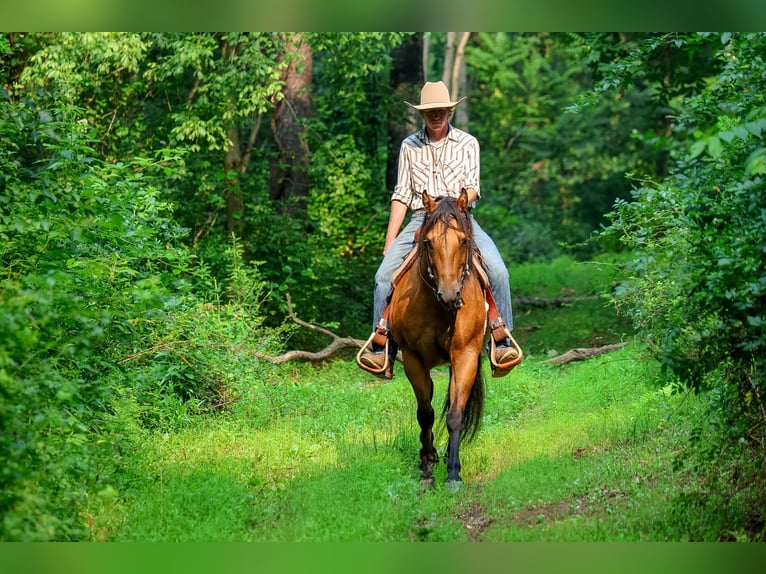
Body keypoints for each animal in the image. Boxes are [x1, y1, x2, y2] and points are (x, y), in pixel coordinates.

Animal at [388, 189, 489, 489]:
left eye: (464, 240)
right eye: (428, 243)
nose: (450, 294)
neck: (438, 309)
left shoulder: (465, 356)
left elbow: (455, 414)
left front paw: (453, 473)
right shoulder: (413, 359)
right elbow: (425, 415)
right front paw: (427, 470)